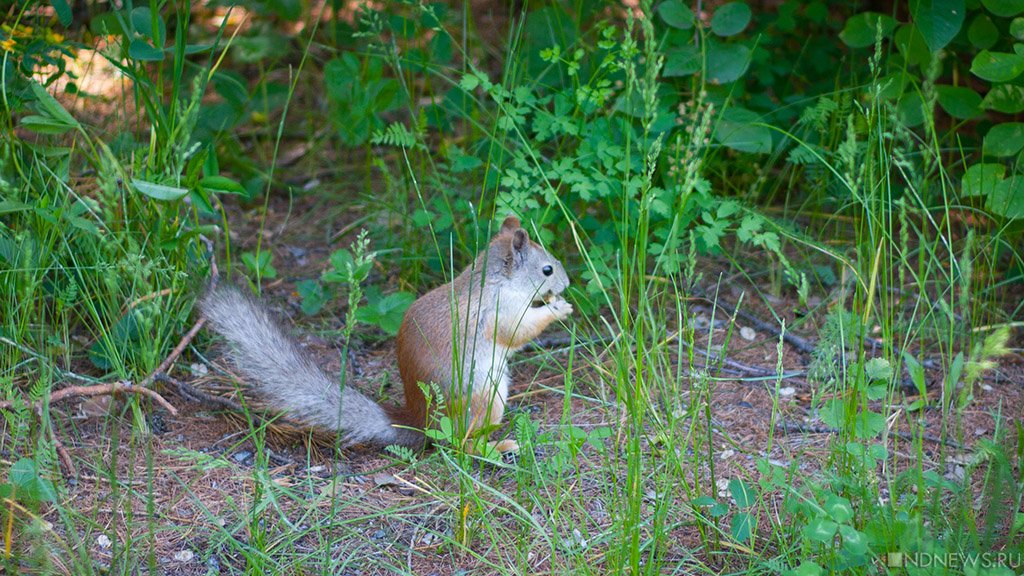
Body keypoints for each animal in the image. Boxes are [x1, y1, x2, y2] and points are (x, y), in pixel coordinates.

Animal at [195, 215, 573, 453]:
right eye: (546, 269)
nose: (567, 283)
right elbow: (516, 332)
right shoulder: (499, 311)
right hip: (483, 399)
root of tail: (421, 421)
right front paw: (559, 308)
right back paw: (499, 446)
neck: (497, 281)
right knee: (462, 445)